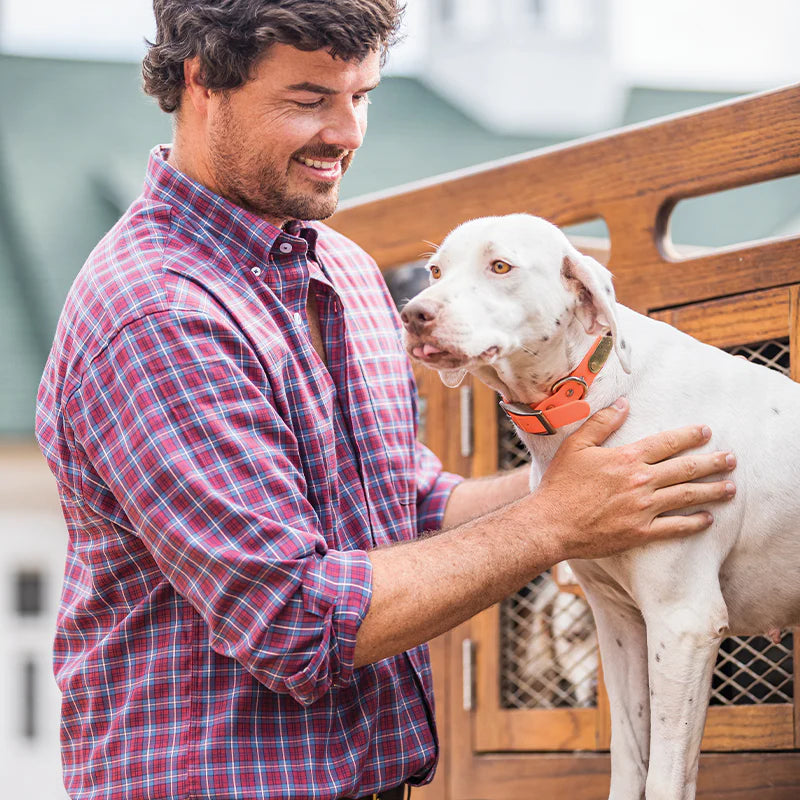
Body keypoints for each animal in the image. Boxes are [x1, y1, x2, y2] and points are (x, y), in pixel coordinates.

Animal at [404, 212, 800, 800]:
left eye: (501, 266)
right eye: (435, 270)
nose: (413, 314)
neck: (592, 397)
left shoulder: (683, 623)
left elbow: (664, 778)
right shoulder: (620, 625)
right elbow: (630, 759)